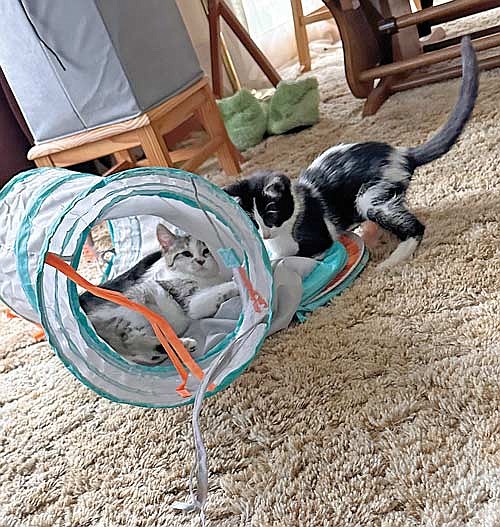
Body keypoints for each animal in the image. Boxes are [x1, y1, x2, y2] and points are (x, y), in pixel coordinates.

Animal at [80, 224, 238, 368]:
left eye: (206, 251)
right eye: (186, 253)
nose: (200, 261)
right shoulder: (190, 301)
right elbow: (218, 290)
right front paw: (237, 283)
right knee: (129, 343)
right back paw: (182, 345)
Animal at [225, 38, 478, 268]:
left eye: (271, 214)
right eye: (253, 222)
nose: (265, 234)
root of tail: (401, 153)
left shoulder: (319, 238)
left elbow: (294, 255)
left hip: (370, 196)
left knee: (414, 226)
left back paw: (392, 258)